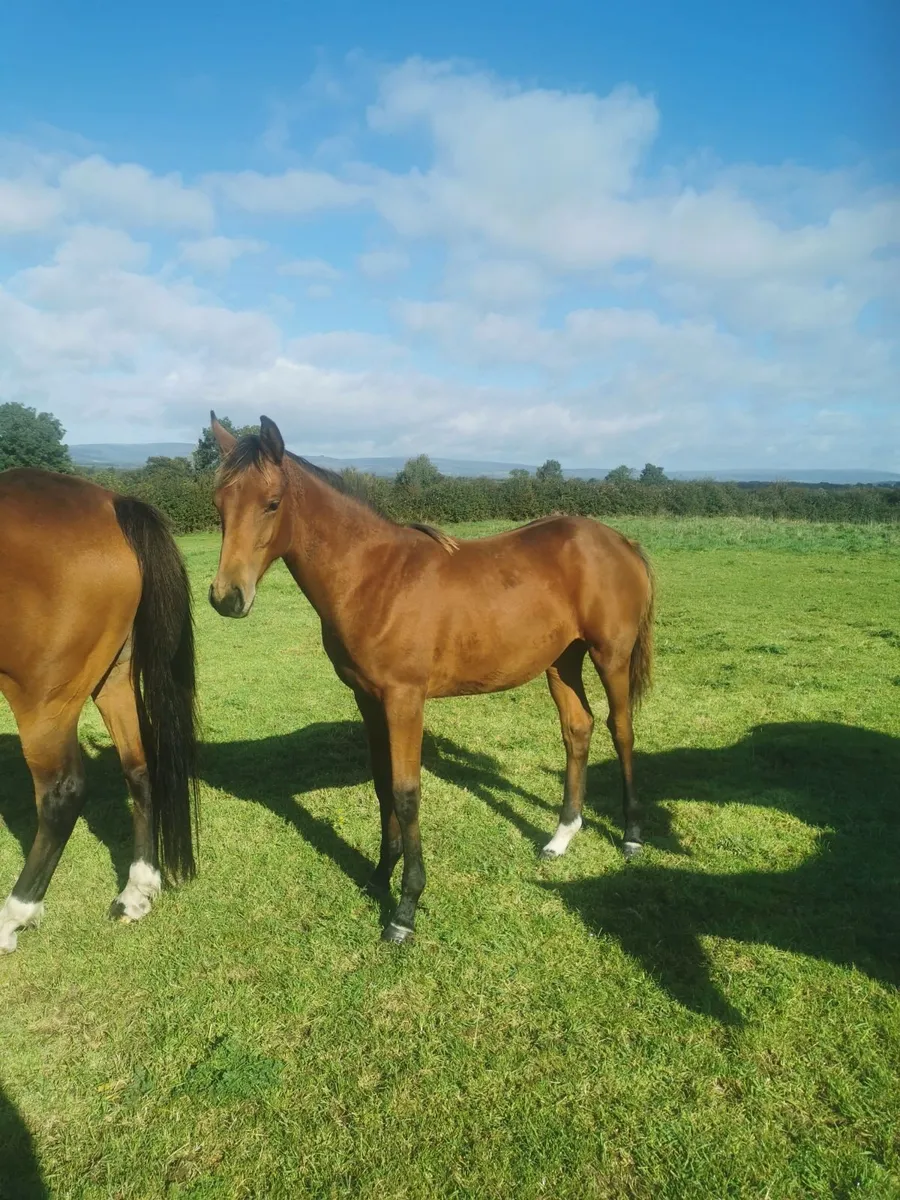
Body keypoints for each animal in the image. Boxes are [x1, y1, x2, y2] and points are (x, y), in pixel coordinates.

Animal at [0, 468, 198, 954]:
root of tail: (113, 505)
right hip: (115, 678)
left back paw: (15, 916)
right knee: (140, 767)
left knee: (62, 794)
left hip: (42, 700)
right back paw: (137, 890)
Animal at [208, 414, 654, 945]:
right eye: (218, 503)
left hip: (610, 657)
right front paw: (379, 874)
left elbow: (406, 793)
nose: (227, 597)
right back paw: (561, 836)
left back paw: (631, 836)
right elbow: (383, 784)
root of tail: (620, 541)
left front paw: (405, 909)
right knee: (578, 729)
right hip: (562, 661)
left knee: (620, 729)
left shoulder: (405, 700)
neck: (373, 579)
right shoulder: (367, 699)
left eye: (272, 503)